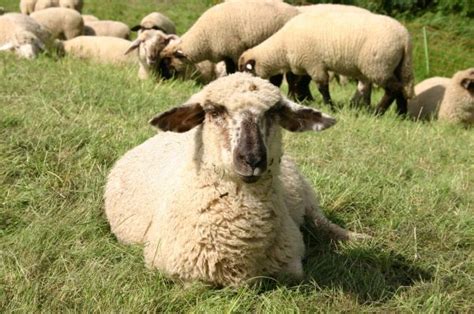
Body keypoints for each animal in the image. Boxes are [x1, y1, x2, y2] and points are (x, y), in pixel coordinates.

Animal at [103, 72, 366, 288]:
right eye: (214, 111)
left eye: (273, 113)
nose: (253, 159)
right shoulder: (180, 273)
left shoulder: (291, 265)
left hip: (306, 196)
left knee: (323, 223)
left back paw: (359, 238)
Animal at [239, 11, 412, 116]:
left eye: (245, 70)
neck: (282, 46)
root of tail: (404, 38)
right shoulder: (303, 65)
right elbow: (297, 83)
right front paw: (296, 100)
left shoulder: (313, 63)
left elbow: (322, 87)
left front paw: (330, 107)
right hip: (396, 66)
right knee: (402, 88)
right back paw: (401, 115)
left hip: (378, 66)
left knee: (393, 88)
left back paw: (378, 112)